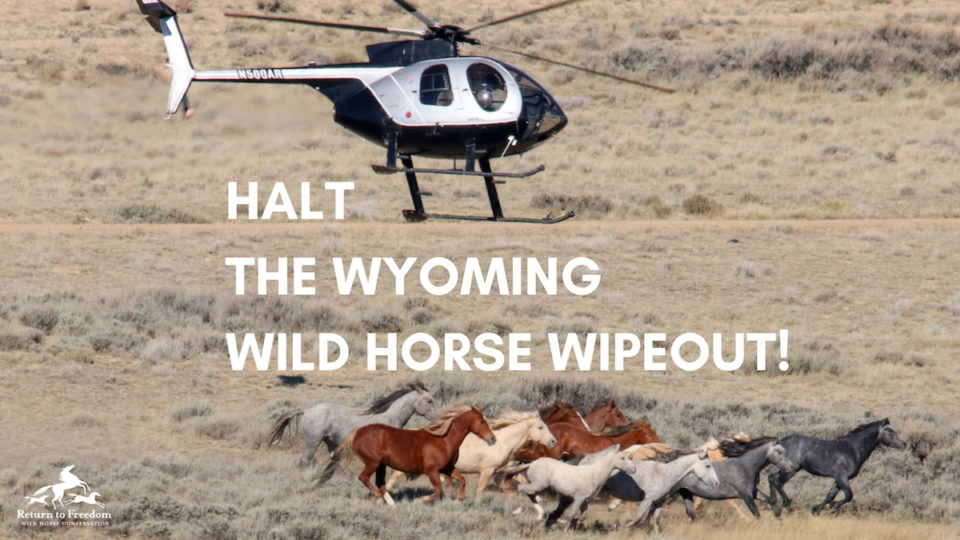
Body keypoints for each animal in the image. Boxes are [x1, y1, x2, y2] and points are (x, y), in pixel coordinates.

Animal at [268, 383, 440, 467]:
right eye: (429, 400)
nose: (438, 417)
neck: (390, 417)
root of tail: (307, 410)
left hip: (330, 443)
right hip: (312, 443)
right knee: (304, 461)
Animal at [319, 405, 496, 504]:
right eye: (482, 421)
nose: (492, 439)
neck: (444, 440)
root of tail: (357, 432)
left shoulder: (447, 468)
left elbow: (463, 480)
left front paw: (458, 500)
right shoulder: (431, 471)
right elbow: (439, 491)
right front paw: (419, 500)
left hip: (381, 464)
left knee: (380, 483)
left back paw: (391, 503)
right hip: (373, 462)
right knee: (364, 478)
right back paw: (380, 499)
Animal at [383, 411, 558, 496]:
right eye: (540, 427)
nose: (553, 442)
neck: (502, 443)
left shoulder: (503, 470)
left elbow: (523, 481)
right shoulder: (487, 471)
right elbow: (480, 490)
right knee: (392, 480)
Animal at [767, 418, 906, 514]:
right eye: (889, 430)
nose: (904, 444)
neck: (852, 450)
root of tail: (779, 443)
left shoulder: (838, 479)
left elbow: (830, 495)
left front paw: (816, 510)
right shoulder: (842, 477)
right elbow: (848, 495)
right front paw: (833, 507)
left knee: (771, 478)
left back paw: (773, 502)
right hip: (791, 469)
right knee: (778, 483)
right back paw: (787, 504)